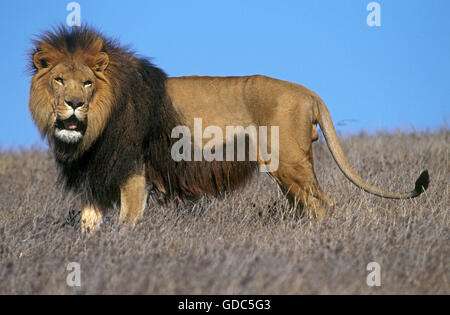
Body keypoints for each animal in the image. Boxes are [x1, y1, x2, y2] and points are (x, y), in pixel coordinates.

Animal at [28, 25, 428, 232]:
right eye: (59, 80)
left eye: (87, 83)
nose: (74, 103)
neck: (94, 127)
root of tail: (307, 91)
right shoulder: (96, 176)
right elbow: (88, 223)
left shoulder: (133, 173)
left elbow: (128, 221)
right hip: (287, 171)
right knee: (305, 205)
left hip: (290, 162)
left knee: (322, 205)